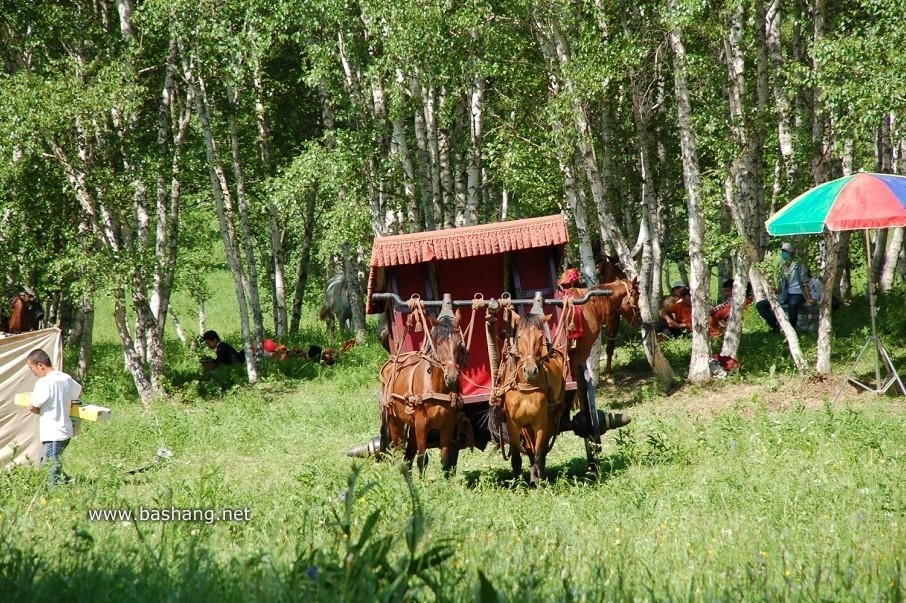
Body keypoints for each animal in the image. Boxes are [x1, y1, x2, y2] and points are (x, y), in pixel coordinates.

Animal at [380, 312, 466, 476]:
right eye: (438, 344)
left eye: (460, 344)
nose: (452, 377)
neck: (436, 389)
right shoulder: (422, 425)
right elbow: (422, 459)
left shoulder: (448, 425)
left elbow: (445, 458)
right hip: (395, 421)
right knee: (398, 452)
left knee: (407, 456)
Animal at [490, 312, 560, 486]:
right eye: (519, 336)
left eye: (540, 336)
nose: (530, 371)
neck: (526, 387)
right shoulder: (514, 425)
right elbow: (516, 457)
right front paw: (517, 484)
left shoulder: (541, 423)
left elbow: (539, 454)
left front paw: (541, 482)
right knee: (529, 449)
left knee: (538, 450)